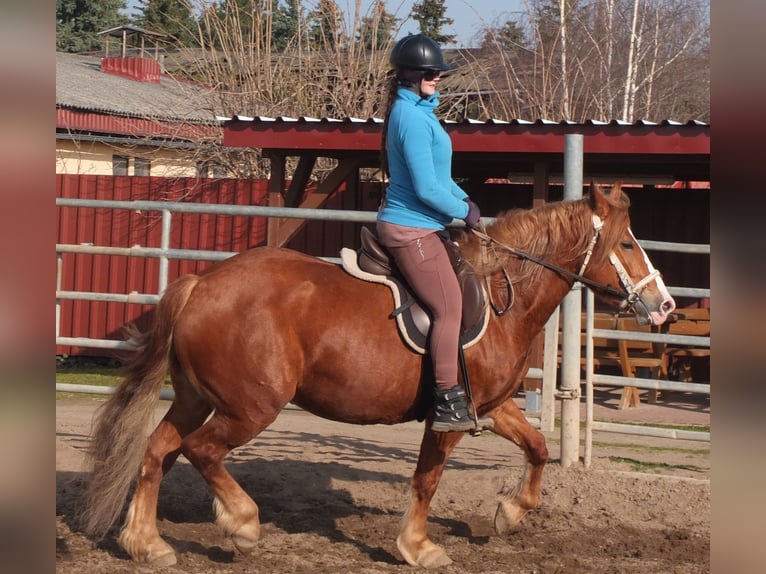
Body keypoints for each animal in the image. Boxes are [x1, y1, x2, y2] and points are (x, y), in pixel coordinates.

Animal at [79, 182, 680, 568]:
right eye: (628, 243)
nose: (666, 306)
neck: (501, 295)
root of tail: (201, 283)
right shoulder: (450, 416)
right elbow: (427, 479)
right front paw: (419, 547)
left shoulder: (491, 405)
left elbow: (537, 447)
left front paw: (510, 514)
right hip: (249, 407)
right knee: (201, 451)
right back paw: (242, 525)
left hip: (196, 397)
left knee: (158, 449)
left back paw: (146, 543)